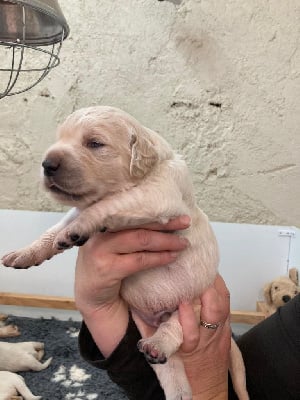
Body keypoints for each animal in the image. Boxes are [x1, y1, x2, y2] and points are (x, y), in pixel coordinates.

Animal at [1, 105, 248, 400]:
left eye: (95, 143)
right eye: (60, 138)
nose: (47, 164)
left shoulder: (157, 195)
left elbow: (108, 204)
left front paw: (78, 229)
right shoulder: (82, 206)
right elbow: (55, 228)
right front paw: (26, 253)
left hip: (195, 302)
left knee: (174, 328)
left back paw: (159, 343)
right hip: (149, 328)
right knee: (173, 375)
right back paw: (167, 372)